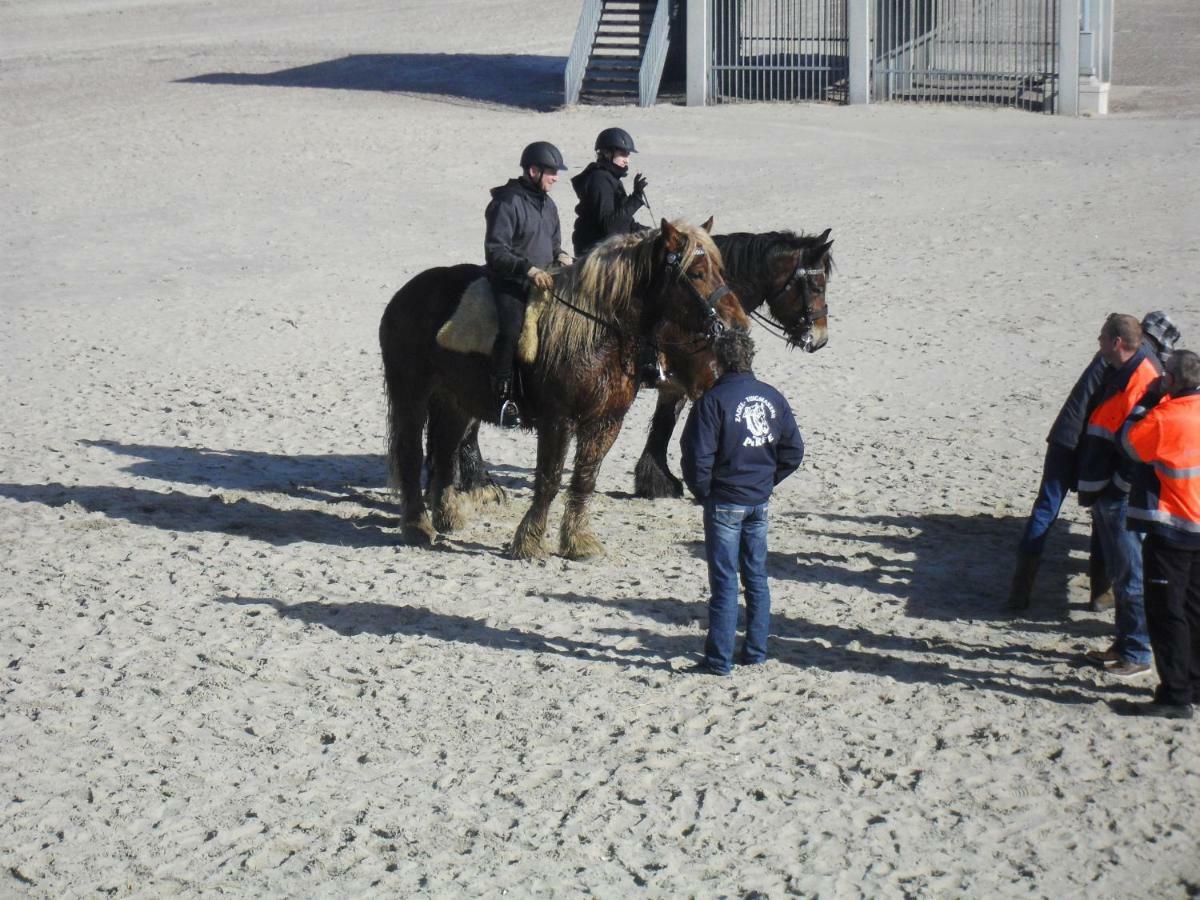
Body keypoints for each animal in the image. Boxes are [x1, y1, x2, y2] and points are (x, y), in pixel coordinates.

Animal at [379, 218, 744, 556]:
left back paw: (447, 515)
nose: (735, 322)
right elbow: (550, 478)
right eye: (697, 273)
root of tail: (405, 294)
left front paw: (578, 541)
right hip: (411, 393)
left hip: (455, 401)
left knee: (444, 450)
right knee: (410, 452)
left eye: (720, 269)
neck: (595, 331)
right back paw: (417, 526)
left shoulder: (607, 422)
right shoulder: (558, 421)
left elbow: (585, 478)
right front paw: (528, 541)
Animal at [448, 225, 835, 504]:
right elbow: (674, 426)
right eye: (816, 285)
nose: (820, 339)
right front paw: (671, 481)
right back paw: (478, 480)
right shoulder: (694, 381)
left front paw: (656, 478)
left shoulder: (674, 384)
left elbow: (664, 424)